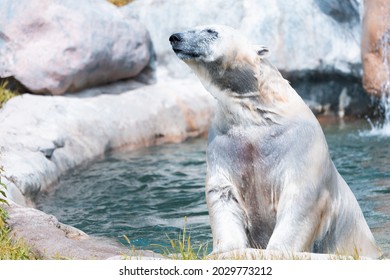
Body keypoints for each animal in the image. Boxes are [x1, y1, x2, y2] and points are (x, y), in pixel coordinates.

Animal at [169, 25, 380, 258]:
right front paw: (224, 250)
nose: (175, 37)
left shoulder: (301, 143)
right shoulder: (224, 142)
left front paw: (277, 251)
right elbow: (223, 193)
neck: (260, 113)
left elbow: (300, 197)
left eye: (210, 31)